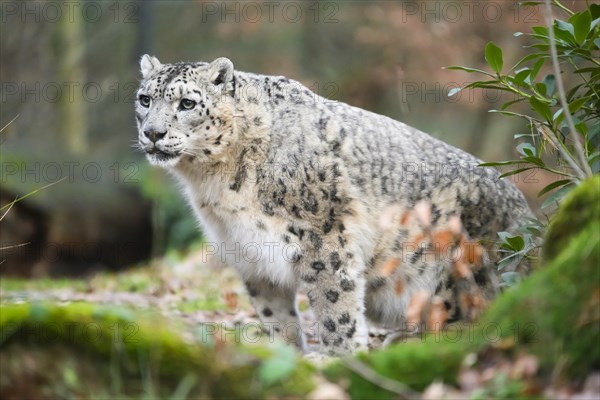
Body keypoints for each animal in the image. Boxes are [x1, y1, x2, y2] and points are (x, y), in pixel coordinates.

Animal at [134, 54, 532, 354]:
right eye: (145, 99)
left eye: (187, 103)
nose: (152, 133)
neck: (213, 183)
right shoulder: (248, 252)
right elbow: (275, 314)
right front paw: (290, 354)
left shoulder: (323, 236)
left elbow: (333, 303)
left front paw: (339, 355)